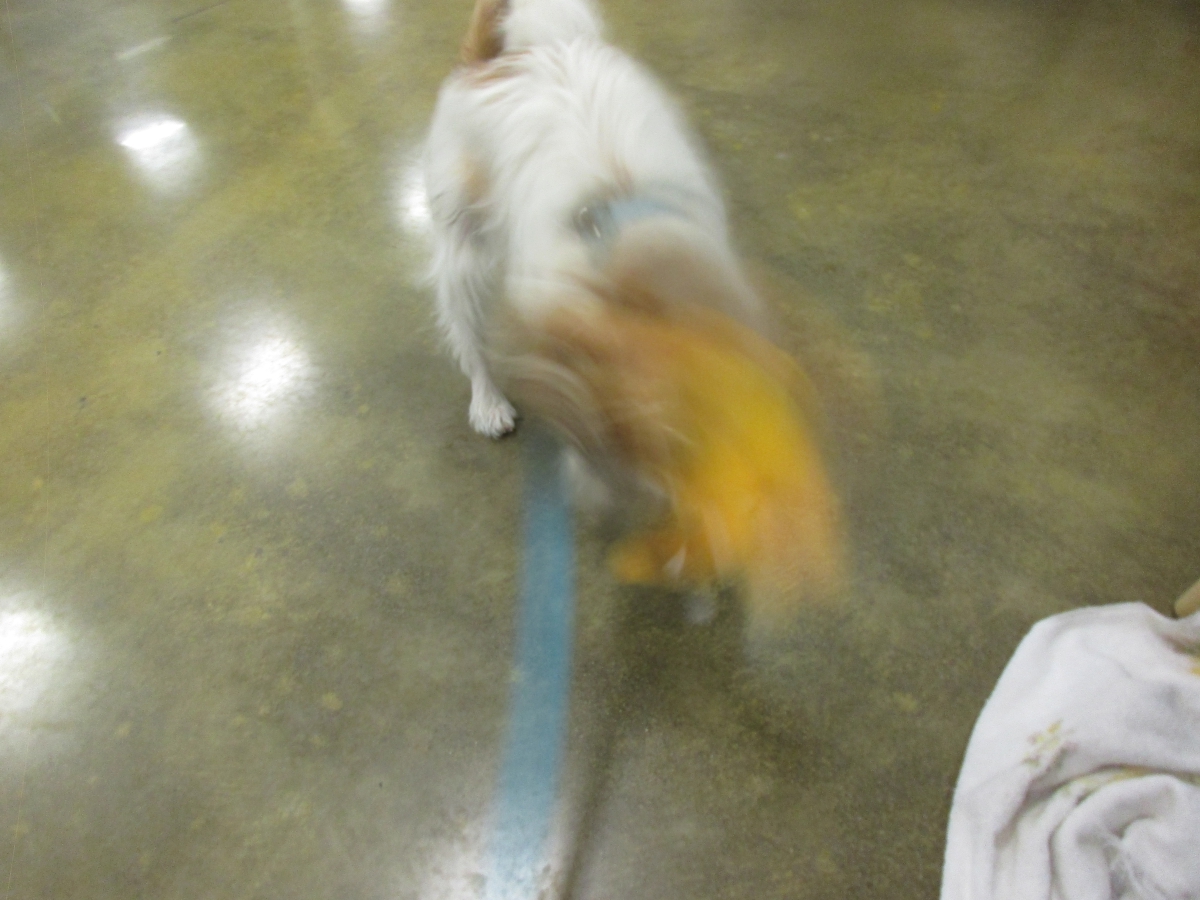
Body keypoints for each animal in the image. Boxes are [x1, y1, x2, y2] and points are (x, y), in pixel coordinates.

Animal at [424, 0, 843, 624]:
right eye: (595, 439)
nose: (598, 503)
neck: (638, 276)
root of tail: (497, 58)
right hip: (464, 256)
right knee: (469, 338)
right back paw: (489, 402)